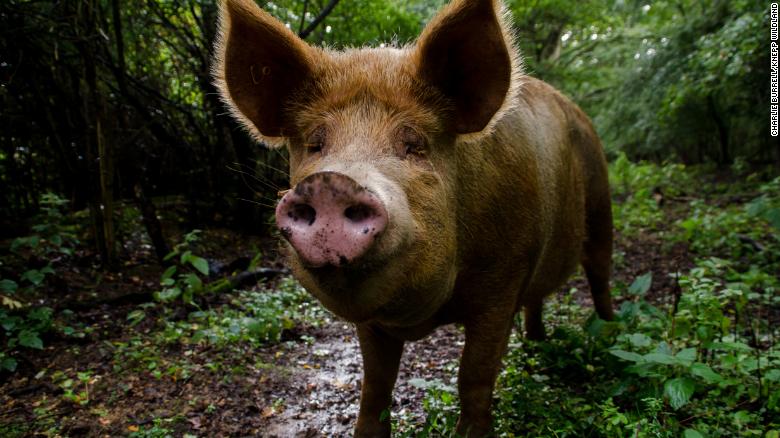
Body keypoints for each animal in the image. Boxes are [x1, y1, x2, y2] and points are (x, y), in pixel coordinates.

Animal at [213, 0, 616, 432]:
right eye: (315, 144)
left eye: (415, 144)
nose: (330, 182)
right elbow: (375, 384)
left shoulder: (504, 276)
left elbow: (474, 376)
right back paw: (535, 343)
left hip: (601, 206)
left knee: (600, 277)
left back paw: (610, 335)